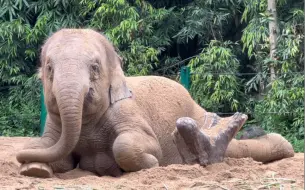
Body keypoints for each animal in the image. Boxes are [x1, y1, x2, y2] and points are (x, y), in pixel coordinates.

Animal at [14, 28, 294, 178]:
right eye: (49, 68)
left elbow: (136, 144)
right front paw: (35, 170)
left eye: (94, 67)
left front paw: (151, 164)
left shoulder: (127, 110)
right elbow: (49, 150)